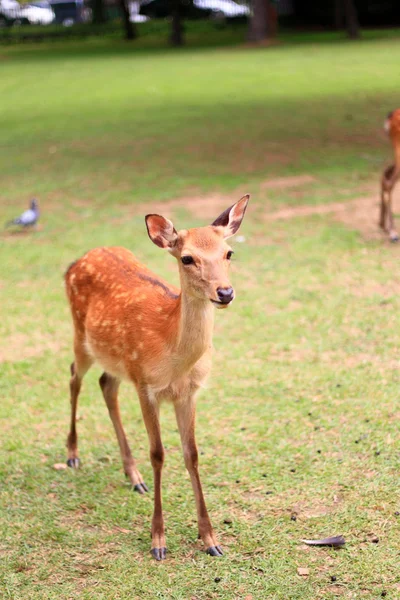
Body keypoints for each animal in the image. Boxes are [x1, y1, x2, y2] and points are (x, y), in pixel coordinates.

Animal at [63, 195, 248, 560]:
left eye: (229, 252)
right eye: (187, 257)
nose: (225, 292)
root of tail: (76, 262)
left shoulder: (188, 392)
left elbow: (192, 454)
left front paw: (210, 539)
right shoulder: (146, 386)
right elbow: (159, 454)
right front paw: (158, 541)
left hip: (117, 361)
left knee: (106, 385)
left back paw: (133, 476)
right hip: (81, 337)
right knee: (75, 376)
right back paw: (73, 454)